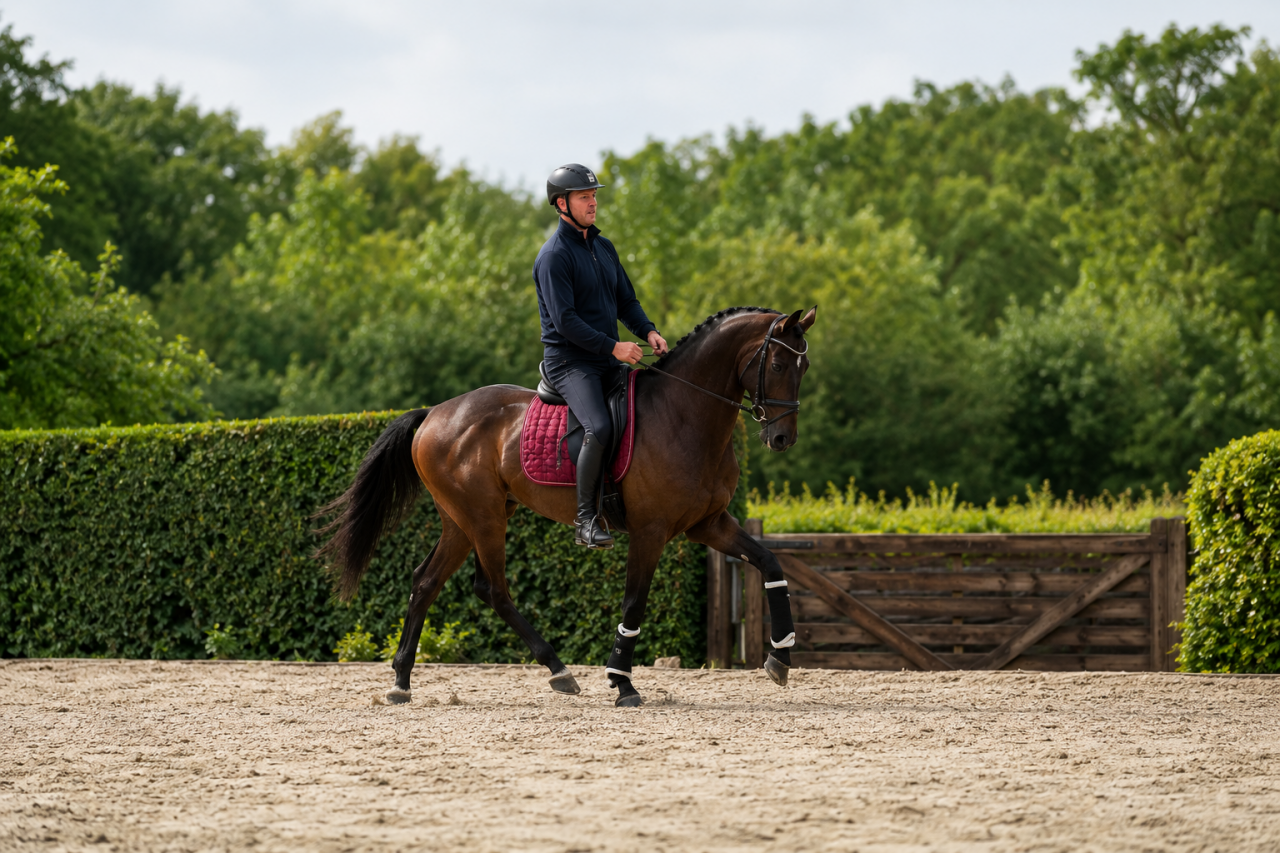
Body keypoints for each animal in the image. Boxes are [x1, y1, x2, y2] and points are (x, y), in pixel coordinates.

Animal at [315, 305, 816, 707]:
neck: (684, 415)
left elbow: (771, 564)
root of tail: (434, 413)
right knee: (492, 588)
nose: (782, 438)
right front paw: (622, 683)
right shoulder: (651, 532)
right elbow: (634, 602)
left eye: (804, 365)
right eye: (776, 363)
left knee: (426, 582)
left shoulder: (710, 524)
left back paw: (402, 681)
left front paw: (780, 656)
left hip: (463, 522)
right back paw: (559, 670)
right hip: (483, 518)